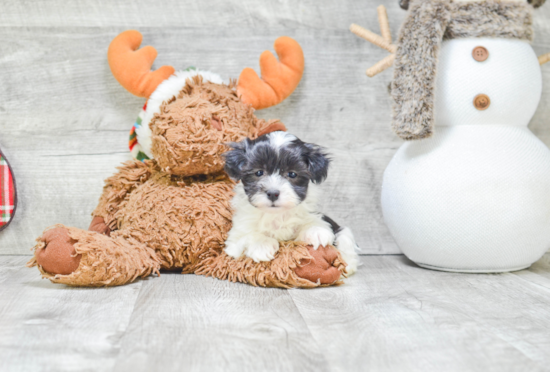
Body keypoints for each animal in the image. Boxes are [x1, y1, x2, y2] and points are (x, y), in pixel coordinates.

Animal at [224, 132, 362, 274]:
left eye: (292, 174)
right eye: (259, 172)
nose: (273, 193)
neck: (276, 215)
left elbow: (314, 221)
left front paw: (315, 231)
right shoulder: (234, 242)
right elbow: (246, 237)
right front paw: (261, 244)